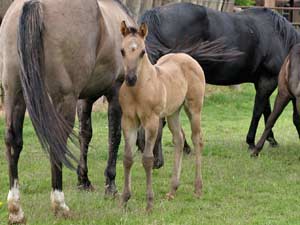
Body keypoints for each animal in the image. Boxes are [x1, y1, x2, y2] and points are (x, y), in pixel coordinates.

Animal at [139, 2, 300, 158]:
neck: (280, 37)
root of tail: (154, 15)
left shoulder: (261, 82)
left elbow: (267, 111)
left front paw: (271, 140)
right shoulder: (268, 80)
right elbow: (259, 111)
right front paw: (252, 143)